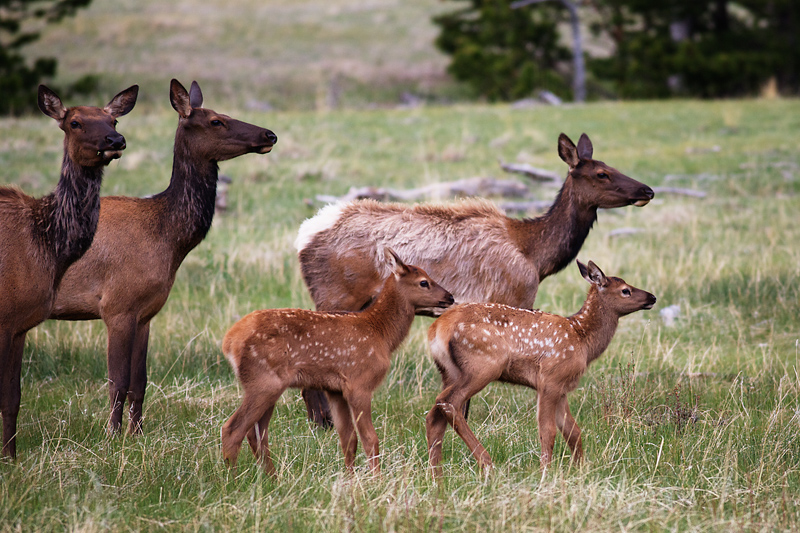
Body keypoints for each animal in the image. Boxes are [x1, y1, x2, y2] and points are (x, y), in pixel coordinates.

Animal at [0, 84, 138, 458]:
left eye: (113, 119)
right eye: (74, 122)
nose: (115, 139)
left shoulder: (19, 324)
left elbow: (12, 398)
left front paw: (11, 458)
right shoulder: (4, 318)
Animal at [49, 80, 278, 436]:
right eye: (216, 121)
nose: (269, 134)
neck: (169, 241)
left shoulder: (146, 312)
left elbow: (140, 382)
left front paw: (137, 433)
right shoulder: (116, 306)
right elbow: (117, 381)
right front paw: (112, 436)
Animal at [222, 248, 454, 474]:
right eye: (424, 282)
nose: (450, 297)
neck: (381, 335)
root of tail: (229, 341)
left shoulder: (335, 389)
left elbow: (348, 440)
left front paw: (350, 479)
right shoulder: (359, 382)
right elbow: (370, 439)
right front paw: (376, 480)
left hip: (270, 385)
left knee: (257, 433)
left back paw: (272, 478)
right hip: (263, 380)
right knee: (233, 429)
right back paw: (233, 479)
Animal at [296, 134, 652, 428]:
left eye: (611, 166)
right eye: (602, 173)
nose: (647, 190)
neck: (535, 255)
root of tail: (303, 236)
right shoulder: (510, 299)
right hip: (336, 296)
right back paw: (322, 422)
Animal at [424, 260, 656, 472]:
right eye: (625, 290)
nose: (652, 297)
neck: (582, 338)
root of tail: (437, 329)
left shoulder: (562, 387)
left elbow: (573, 430)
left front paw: (579, 469)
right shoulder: (550, 379)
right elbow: (548, 430)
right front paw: (546, 471)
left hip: (449, 372)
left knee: (434, 415)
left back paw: (437, 476)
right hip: (483, 364)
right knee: (449, 402)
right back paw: (485, 461)